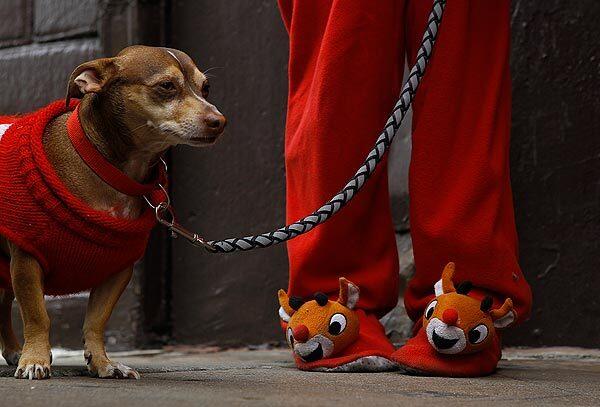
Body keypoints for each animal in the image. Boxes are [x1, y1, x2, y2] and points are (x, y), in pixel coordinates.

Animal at [0, 44, 225, 380]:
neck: (107, 170)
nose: (219, 120)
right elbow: (38, 316)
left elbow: (95, 322)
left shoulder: (118, 271)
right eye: (166, 86)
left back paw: (13, 350)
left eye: (205, 87)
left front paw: (103, 363)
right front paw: (35, 359)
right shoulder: (26, 262)